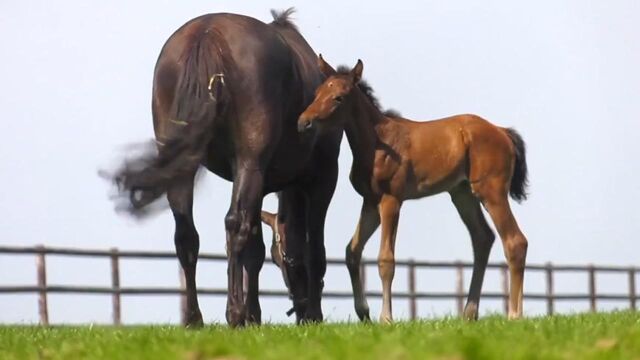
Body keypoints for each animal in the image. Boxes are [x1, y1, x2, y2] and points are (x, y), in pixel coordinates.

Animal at [105, 9, 342, 328]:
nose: (300, 310)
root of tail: (207, 33)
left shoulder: (263, 184)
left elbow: (256, 251)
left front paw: (255, 315)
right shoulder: (322, 179)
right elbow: (313, 248)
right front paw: (311, 314)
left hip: (186, 169)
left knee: (187, 236)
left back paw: (195, 318)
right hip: (251, 164)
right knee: (234, 225)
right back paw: (234, 312)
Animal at [298, 57, 528, 324]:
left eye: (338, 97)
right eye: (317, 93)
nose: (303, 122)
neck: (378, 143)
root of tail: (503, 132)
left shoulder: (391, 200)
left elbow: (386, 259)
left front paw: (386, 318)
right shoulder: (371, 202)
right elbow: (352, 251)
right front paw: (363, 312)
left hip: (491, 191)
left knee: (515, 241)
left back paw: (514, 314)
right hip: (462, 194)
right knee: (482, 238)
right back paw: (469, 313)